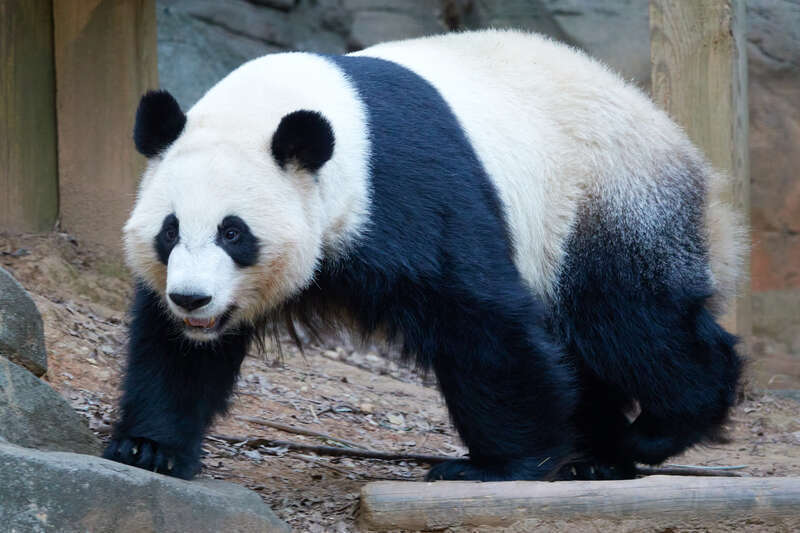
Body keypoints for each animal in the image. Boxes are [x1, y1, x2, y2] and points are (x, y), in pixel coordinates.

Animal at [104, 29, 745, 482]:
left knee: (628, 321)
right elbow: (175, 351)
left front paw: (498, 466)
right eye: (169, 232)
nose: (193, 299)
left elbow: (479, 318)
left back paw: (660, 427)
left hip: (602, 201)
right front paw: (149, 446)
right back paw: (599, 453)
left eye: (235, 233)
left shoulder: (401, 187)